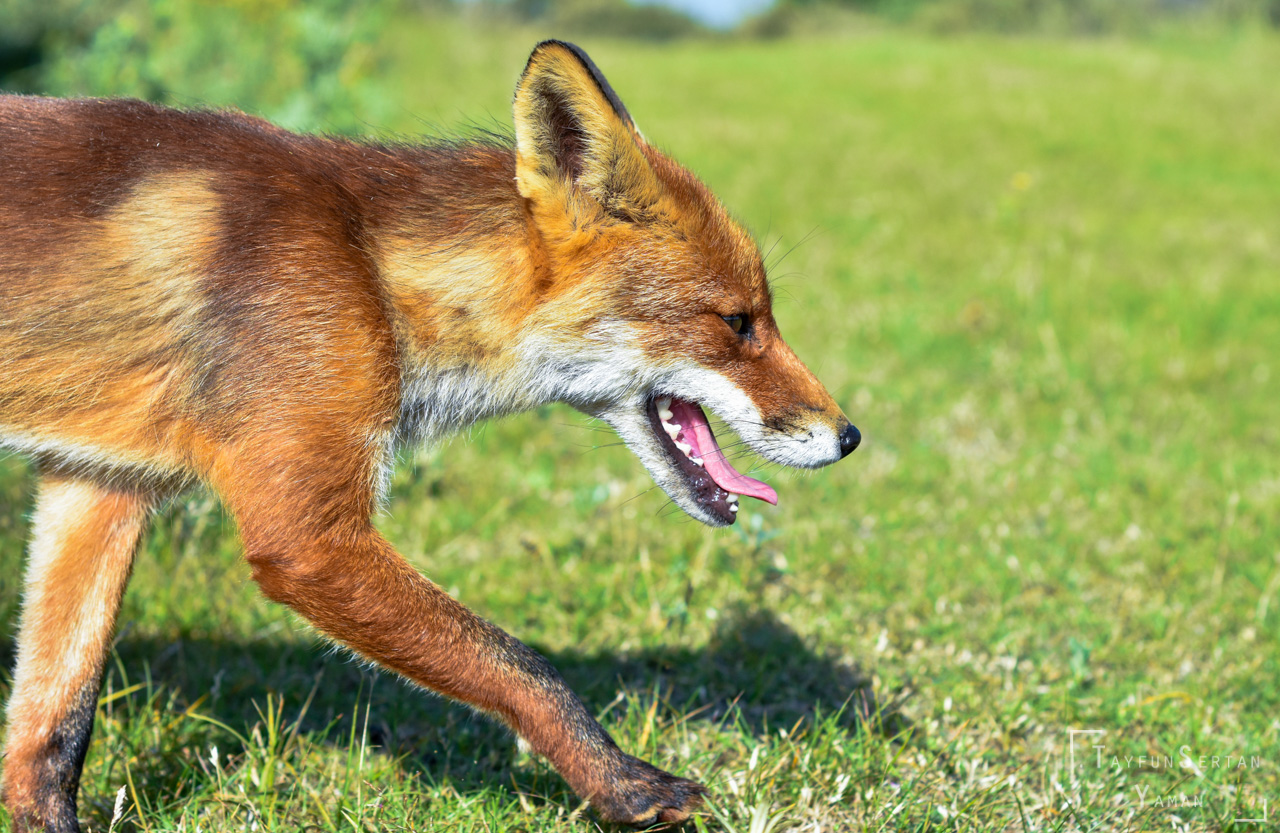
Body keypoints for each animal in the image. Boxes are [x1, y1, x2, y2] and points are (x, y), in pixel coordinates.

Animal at [0, 41, 859, 830]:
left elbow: (54, 726)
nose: (849, 436)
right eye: (738, 322)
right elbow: (521, 664)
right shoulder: (306, 537)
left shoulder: (100, 483)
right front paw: (623, 786)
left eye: (761, 317)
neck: (370, 270)